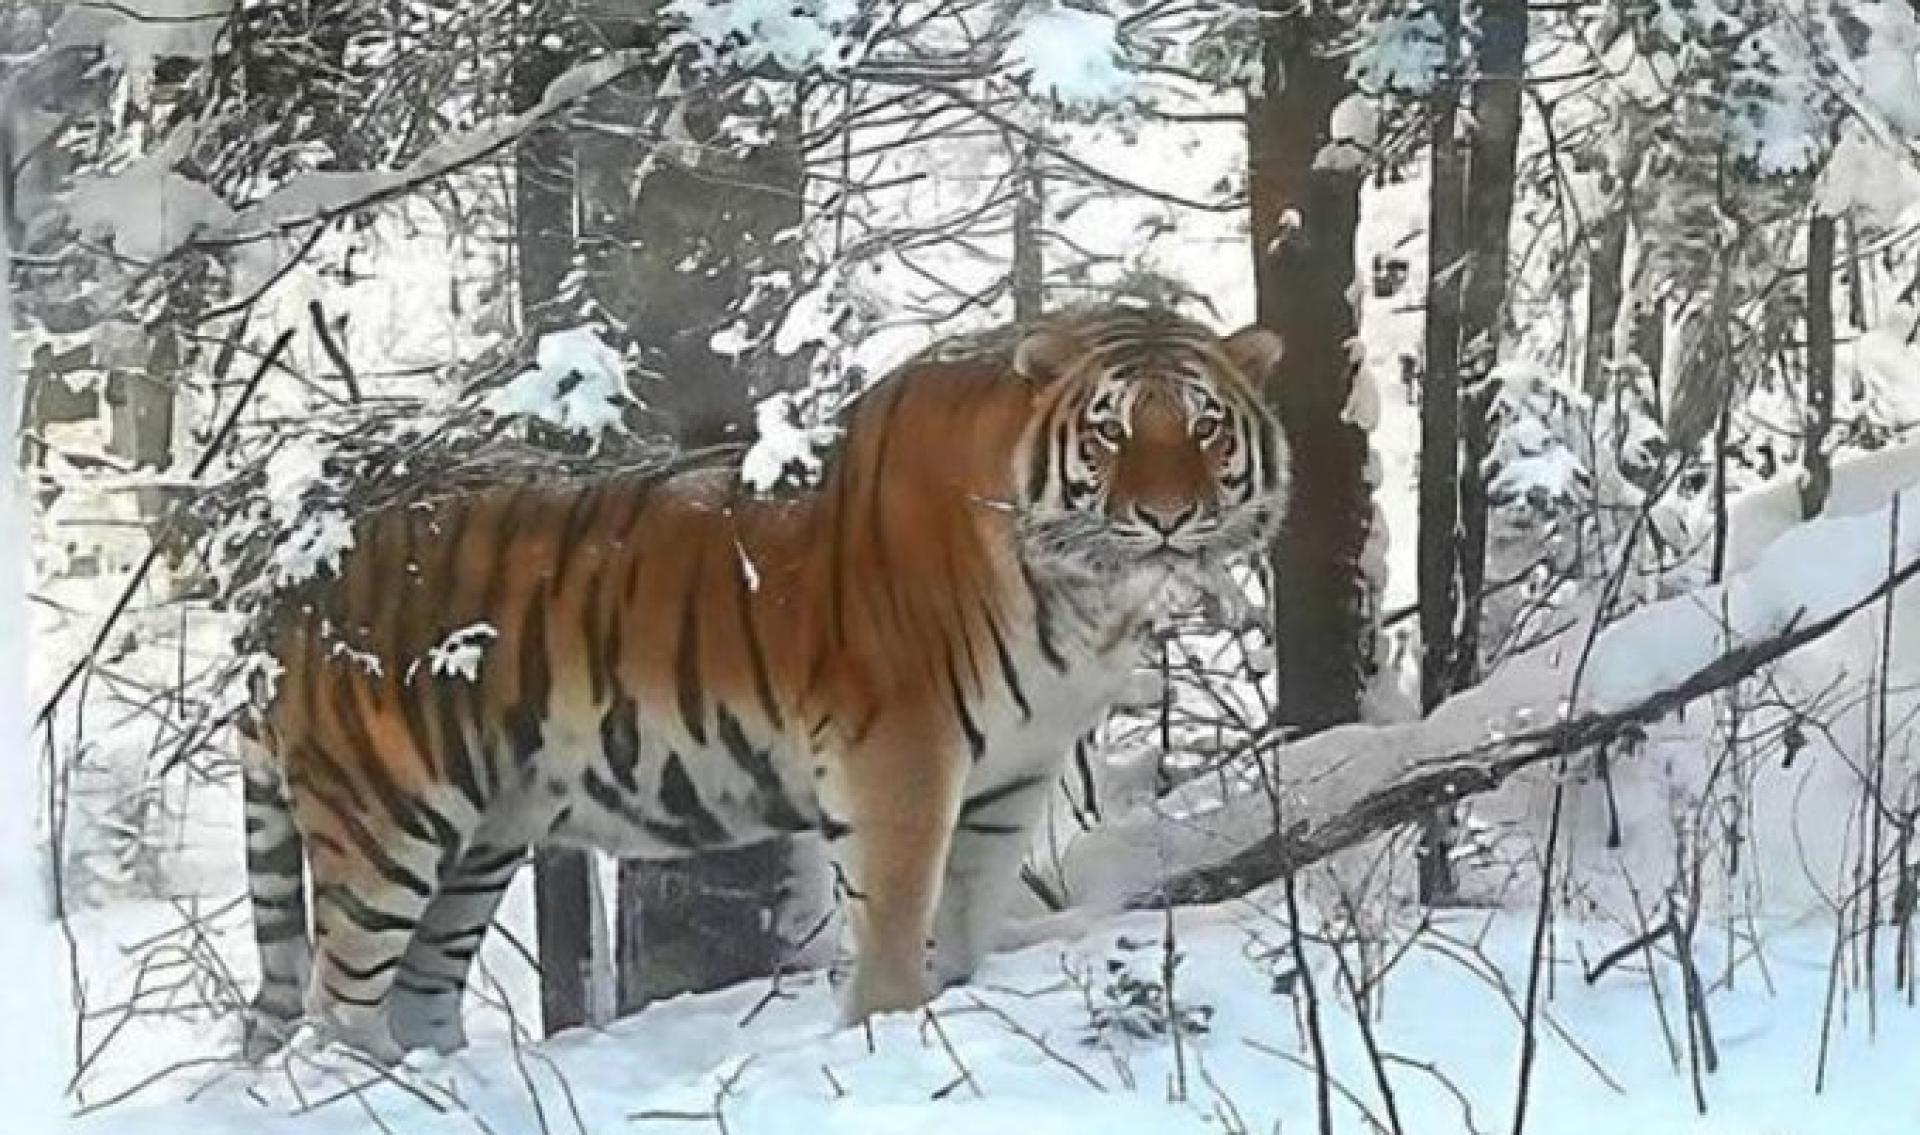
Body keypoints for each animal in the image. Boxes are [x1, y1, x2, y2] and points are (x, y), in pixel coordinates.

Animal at [238, 303, 1289, 1061]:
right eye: (1110, 430)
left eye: (1205, 425)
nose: (1166, 517)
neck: (1084, 596)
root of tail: (293, 576)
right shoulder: (902, 755)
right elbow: (897, 918)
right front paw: (891, 1032)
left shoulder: (1013, 775)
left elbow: (965, 914)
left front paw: (951, 1002)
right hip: (384, 819)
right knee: (336, 1007)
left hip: (479, 840)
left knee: (416, 995)